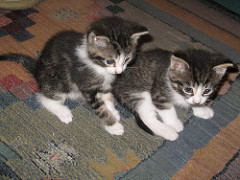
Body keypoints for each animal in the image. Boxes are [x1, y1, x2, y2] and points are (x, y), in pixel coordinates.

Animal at [0, 16, 148, 135]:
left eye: (127, 60)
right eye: (110, 61)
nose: (119, 72)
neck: (99, 67)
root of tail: (37, 71)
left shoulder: (105, 84)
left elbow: (107, 97)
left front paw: (113, 111)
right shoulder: (87, 85)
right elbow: (100, 108)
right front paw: (113, 126)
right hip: (58, 83)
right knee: (44, 98)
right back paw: (63, 112)